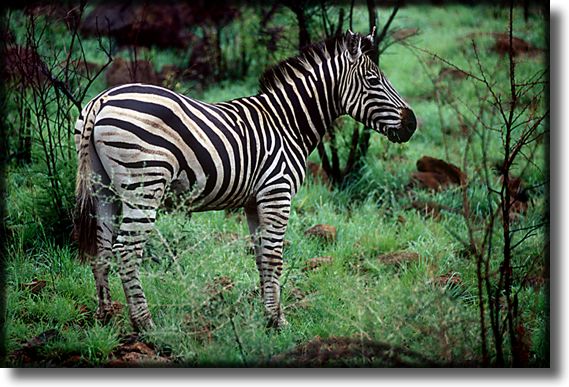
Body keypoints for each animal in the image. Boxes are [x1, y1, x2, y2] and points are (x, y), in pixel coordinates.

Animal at [73, 29, 414, 334]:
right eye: (373, 81)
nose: (411, 124)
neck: (288, 123)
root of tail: (101, 100)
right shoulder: (278, 191)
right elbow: (275, 258)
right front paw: (279, 321)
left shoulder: (254, 200)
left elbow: (261, 257)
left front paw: (267, 317)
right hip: (144, 186)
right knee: (126, 249)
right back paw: (144, 324)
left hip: (102, 189)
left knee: (102, 249)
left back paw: (105, 316)